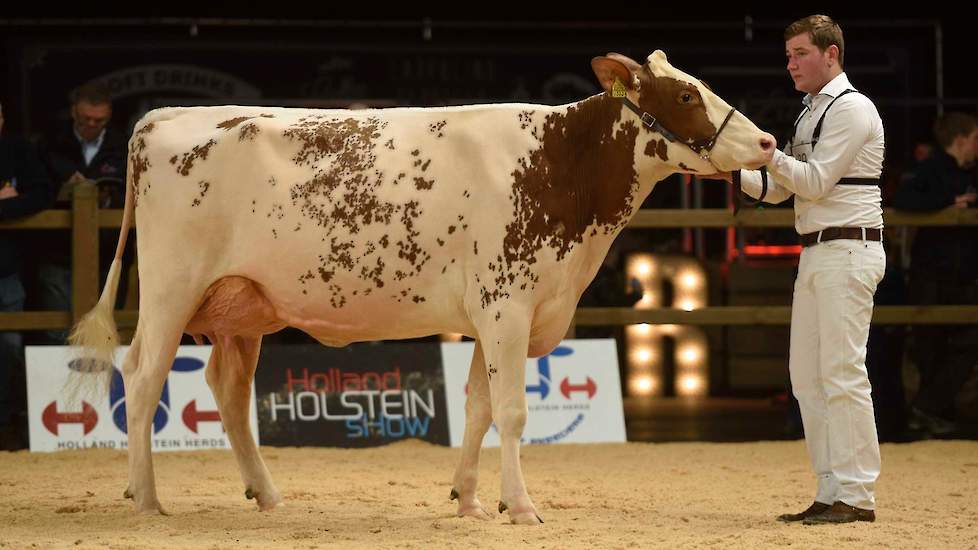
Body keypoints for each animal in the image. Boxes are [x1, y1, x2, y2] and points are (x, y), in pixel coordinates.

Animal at [68, 49, 772, 524]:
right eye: (686, 95)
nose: (767, 140)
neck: (555, 163)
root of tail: (162, 117)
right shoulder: (508, 307)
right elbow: (512, 411)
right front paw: (521, 506)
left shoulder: (497, 312)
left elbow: (479, 406)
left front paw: (469, 500)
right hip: (171, 288)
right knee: (142, 376)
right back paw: (147, 499)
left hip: (240, 304)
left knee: (229, 392)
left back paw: (266, 494)